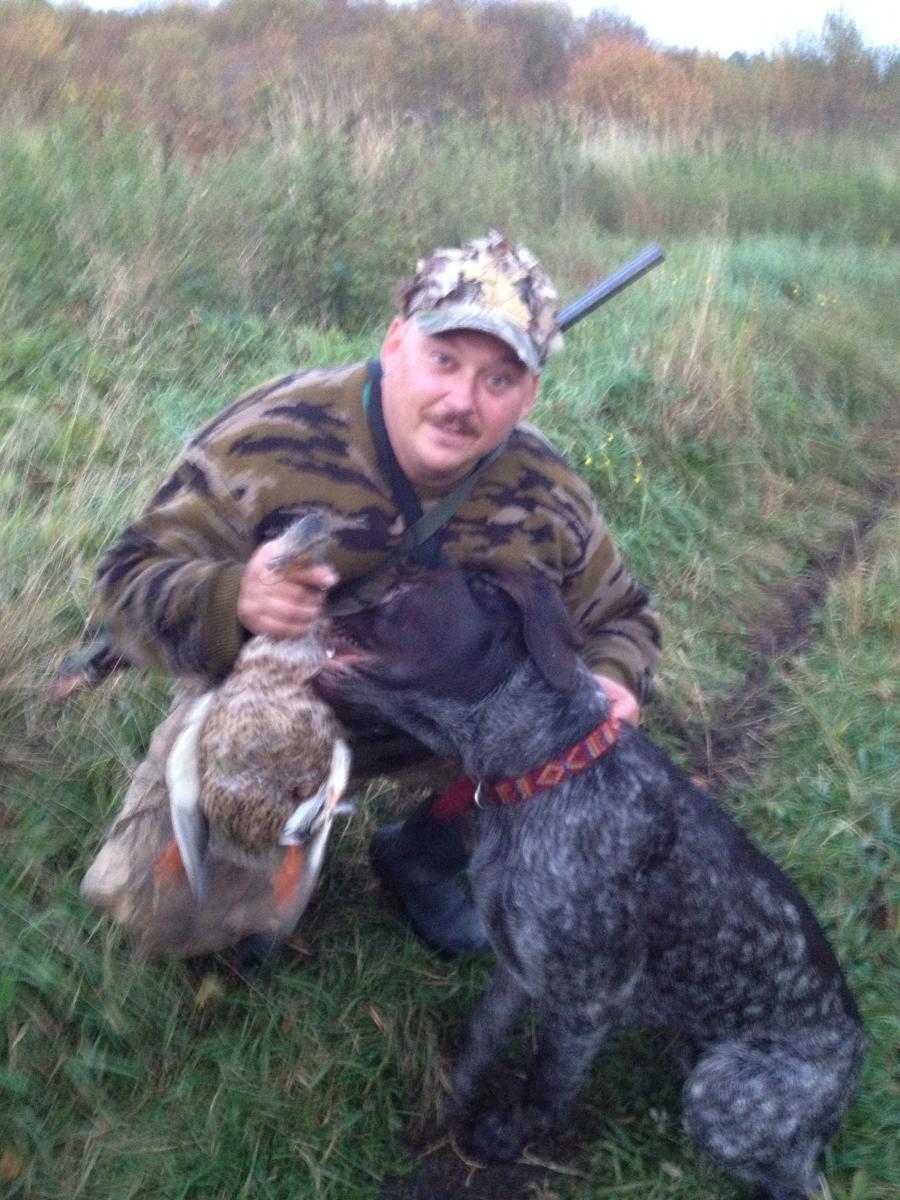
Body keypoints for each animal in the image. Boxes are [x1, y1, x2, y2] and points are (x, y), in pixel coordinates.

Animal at [318, 566, 864, 1200]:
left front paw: (503, 1141)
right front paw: (447, 1105)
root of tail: (854, 1058)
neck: (544, 773)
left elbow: (544, 1087)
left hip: (719, 1095)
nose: (323, 586)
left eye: (405, 591)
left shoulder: (584, 1006)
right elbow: (480, 1037)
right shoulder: (517, 966)